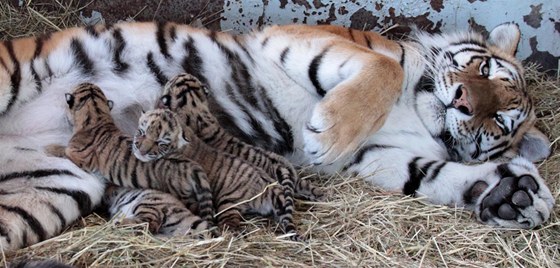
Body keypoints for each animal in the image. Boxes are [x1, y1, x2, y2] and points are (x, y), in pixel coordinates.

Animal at [0, 21, 552, 251]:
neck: (420, 113)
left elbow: (432, 173)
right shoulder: (307, 39)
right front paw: (327, 132)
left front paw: (512, 194)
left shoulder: (378, 154)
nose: (462, 100)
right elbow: (383, 69)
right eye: (483, 68)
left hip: (54, 188)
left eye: (501, 119)